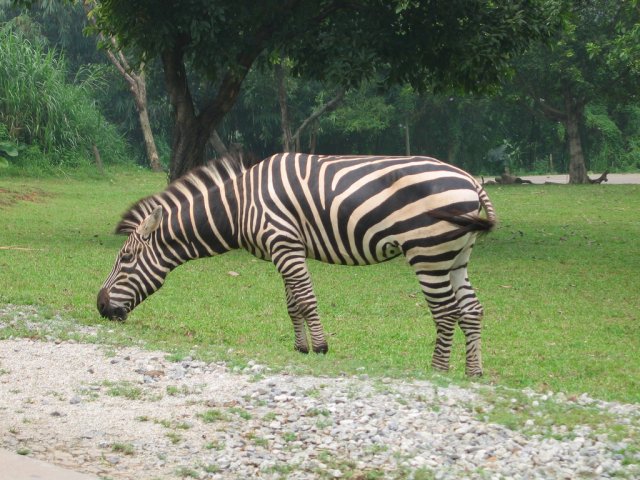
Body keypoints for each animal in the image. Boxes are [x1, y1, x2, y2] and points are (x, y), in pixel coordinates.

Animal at [97, 154, 496, 376]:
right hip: (456, 256)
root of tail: (471, 181)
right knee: (471, 309)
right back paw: (473, 371)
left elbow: (305, 298)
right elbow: (292, 303)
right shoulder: (284, 249)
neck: (239, 206)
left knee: (446, 312)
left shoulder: (284, 242)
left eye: (125, 259)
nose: (100, 306)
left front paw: (319, 347)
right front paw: (301, 347)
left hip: (427, 251)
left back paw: (439, 370)